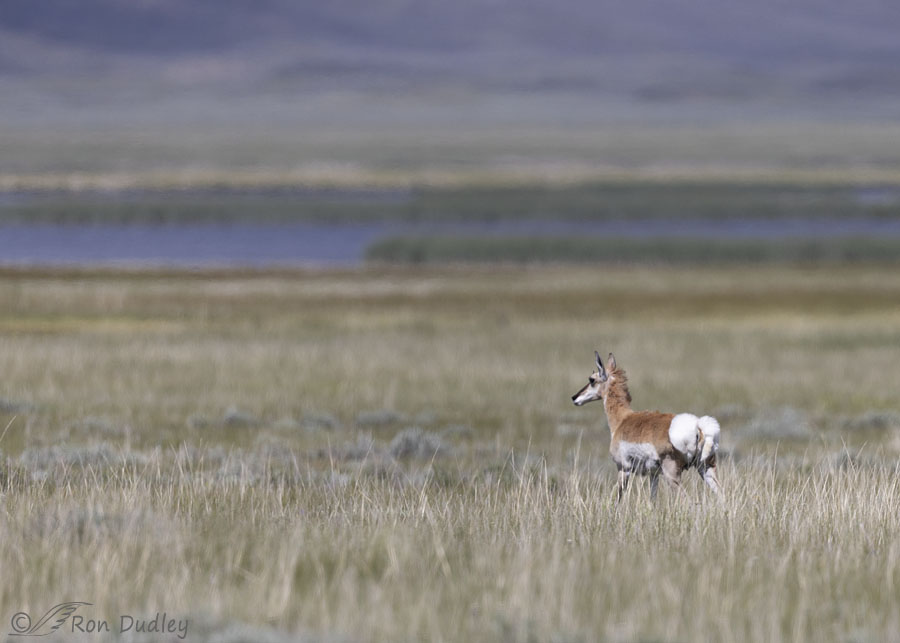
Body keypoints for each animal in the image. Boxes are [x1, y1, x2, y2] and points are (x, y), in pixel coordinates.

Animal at [571, 351, 721, 503]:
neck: (622, 419)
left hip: (672, 474)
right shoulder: (653, 474)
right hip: (706, 468)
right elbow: (652, 500)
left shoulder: (623, 469)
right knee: (721, 495)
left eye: (591, 379)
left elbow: (616, 498)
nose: (574, 397)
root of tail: (698, 427)